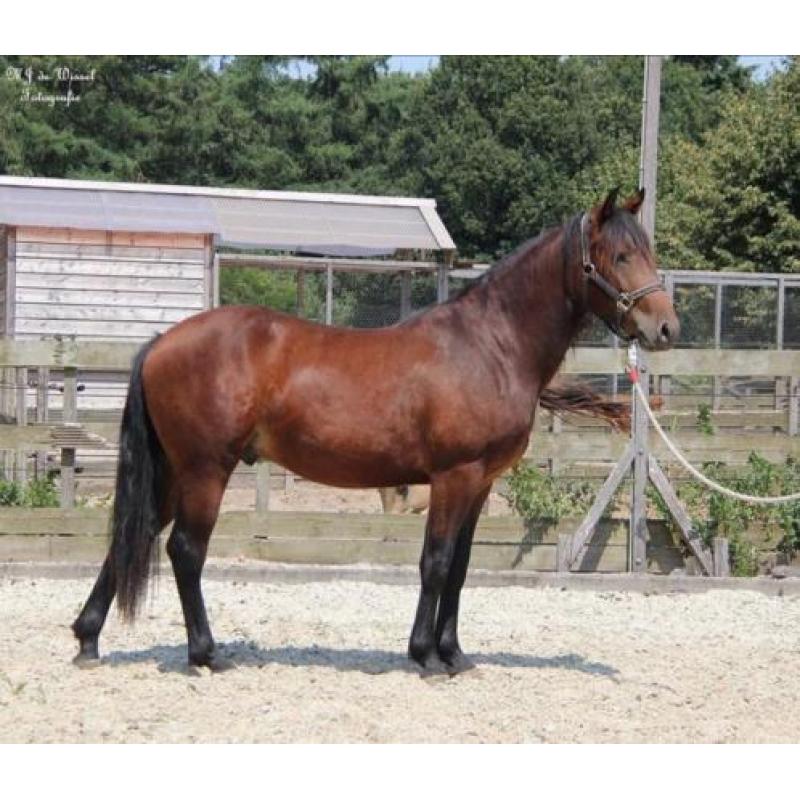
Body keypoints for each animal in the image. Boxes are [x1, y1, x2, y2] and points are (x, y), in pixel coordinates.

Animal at [71, 188, 678, 677]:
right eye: (619, 255)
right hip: (205, 471)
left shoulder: (480, 484)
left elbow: (460, 569)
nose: (665, 328)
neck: (489, 346)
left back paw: (87, 639)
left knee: (134, 535)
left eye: (648, 251)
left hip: (174, 472)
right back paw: (206, 654)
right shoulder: (453, 477)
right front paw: (426, 656)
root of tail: (161, 343)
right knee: (185, 550)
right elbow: (435, 563)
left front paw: (454, 654)